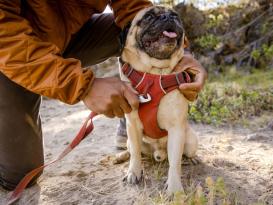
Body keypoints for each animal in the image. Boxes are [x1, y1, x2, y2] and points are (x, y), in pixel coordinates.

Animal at [119, 5, 198, 194]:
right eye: (148, 16)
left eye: (176, 16)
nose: (168, 17)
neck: (154, 74)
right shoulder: (132, 126)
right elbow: (135, 154)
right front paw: (133, 173)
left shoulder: (176, 129)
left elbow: (175, 163)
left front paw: (174, 188)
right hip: (130, 139)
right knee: (133, 150)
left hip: (191, 141)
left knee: (183, 155)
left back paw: (191, 160)